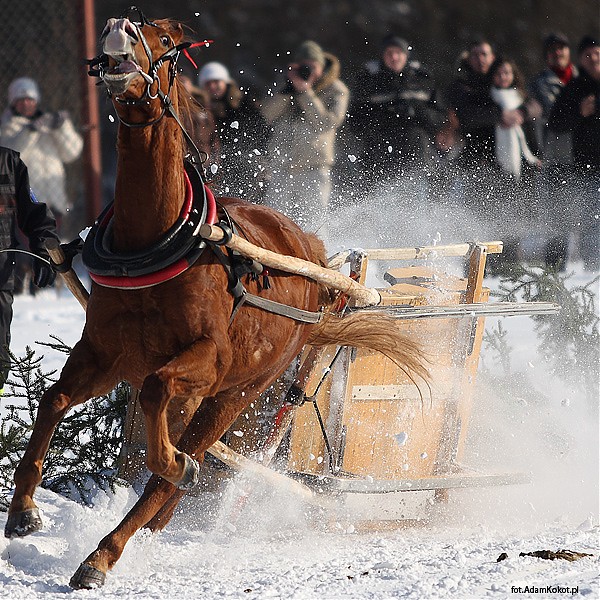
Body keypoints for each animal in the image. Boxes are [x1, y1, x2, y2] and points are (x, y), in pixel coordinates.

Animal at [4, 10, 426, 592]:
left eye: (161, 39)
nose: (117, 27)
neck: (152, 240)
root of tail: (309, 250)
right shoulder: (104, 352)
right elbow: (54, 400)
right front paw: (24, 508)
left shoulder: (208, 359)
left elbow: (158, 401)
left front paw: (173, 463)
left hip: (239, 393)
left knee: (181, 456)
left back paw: (108, 549)